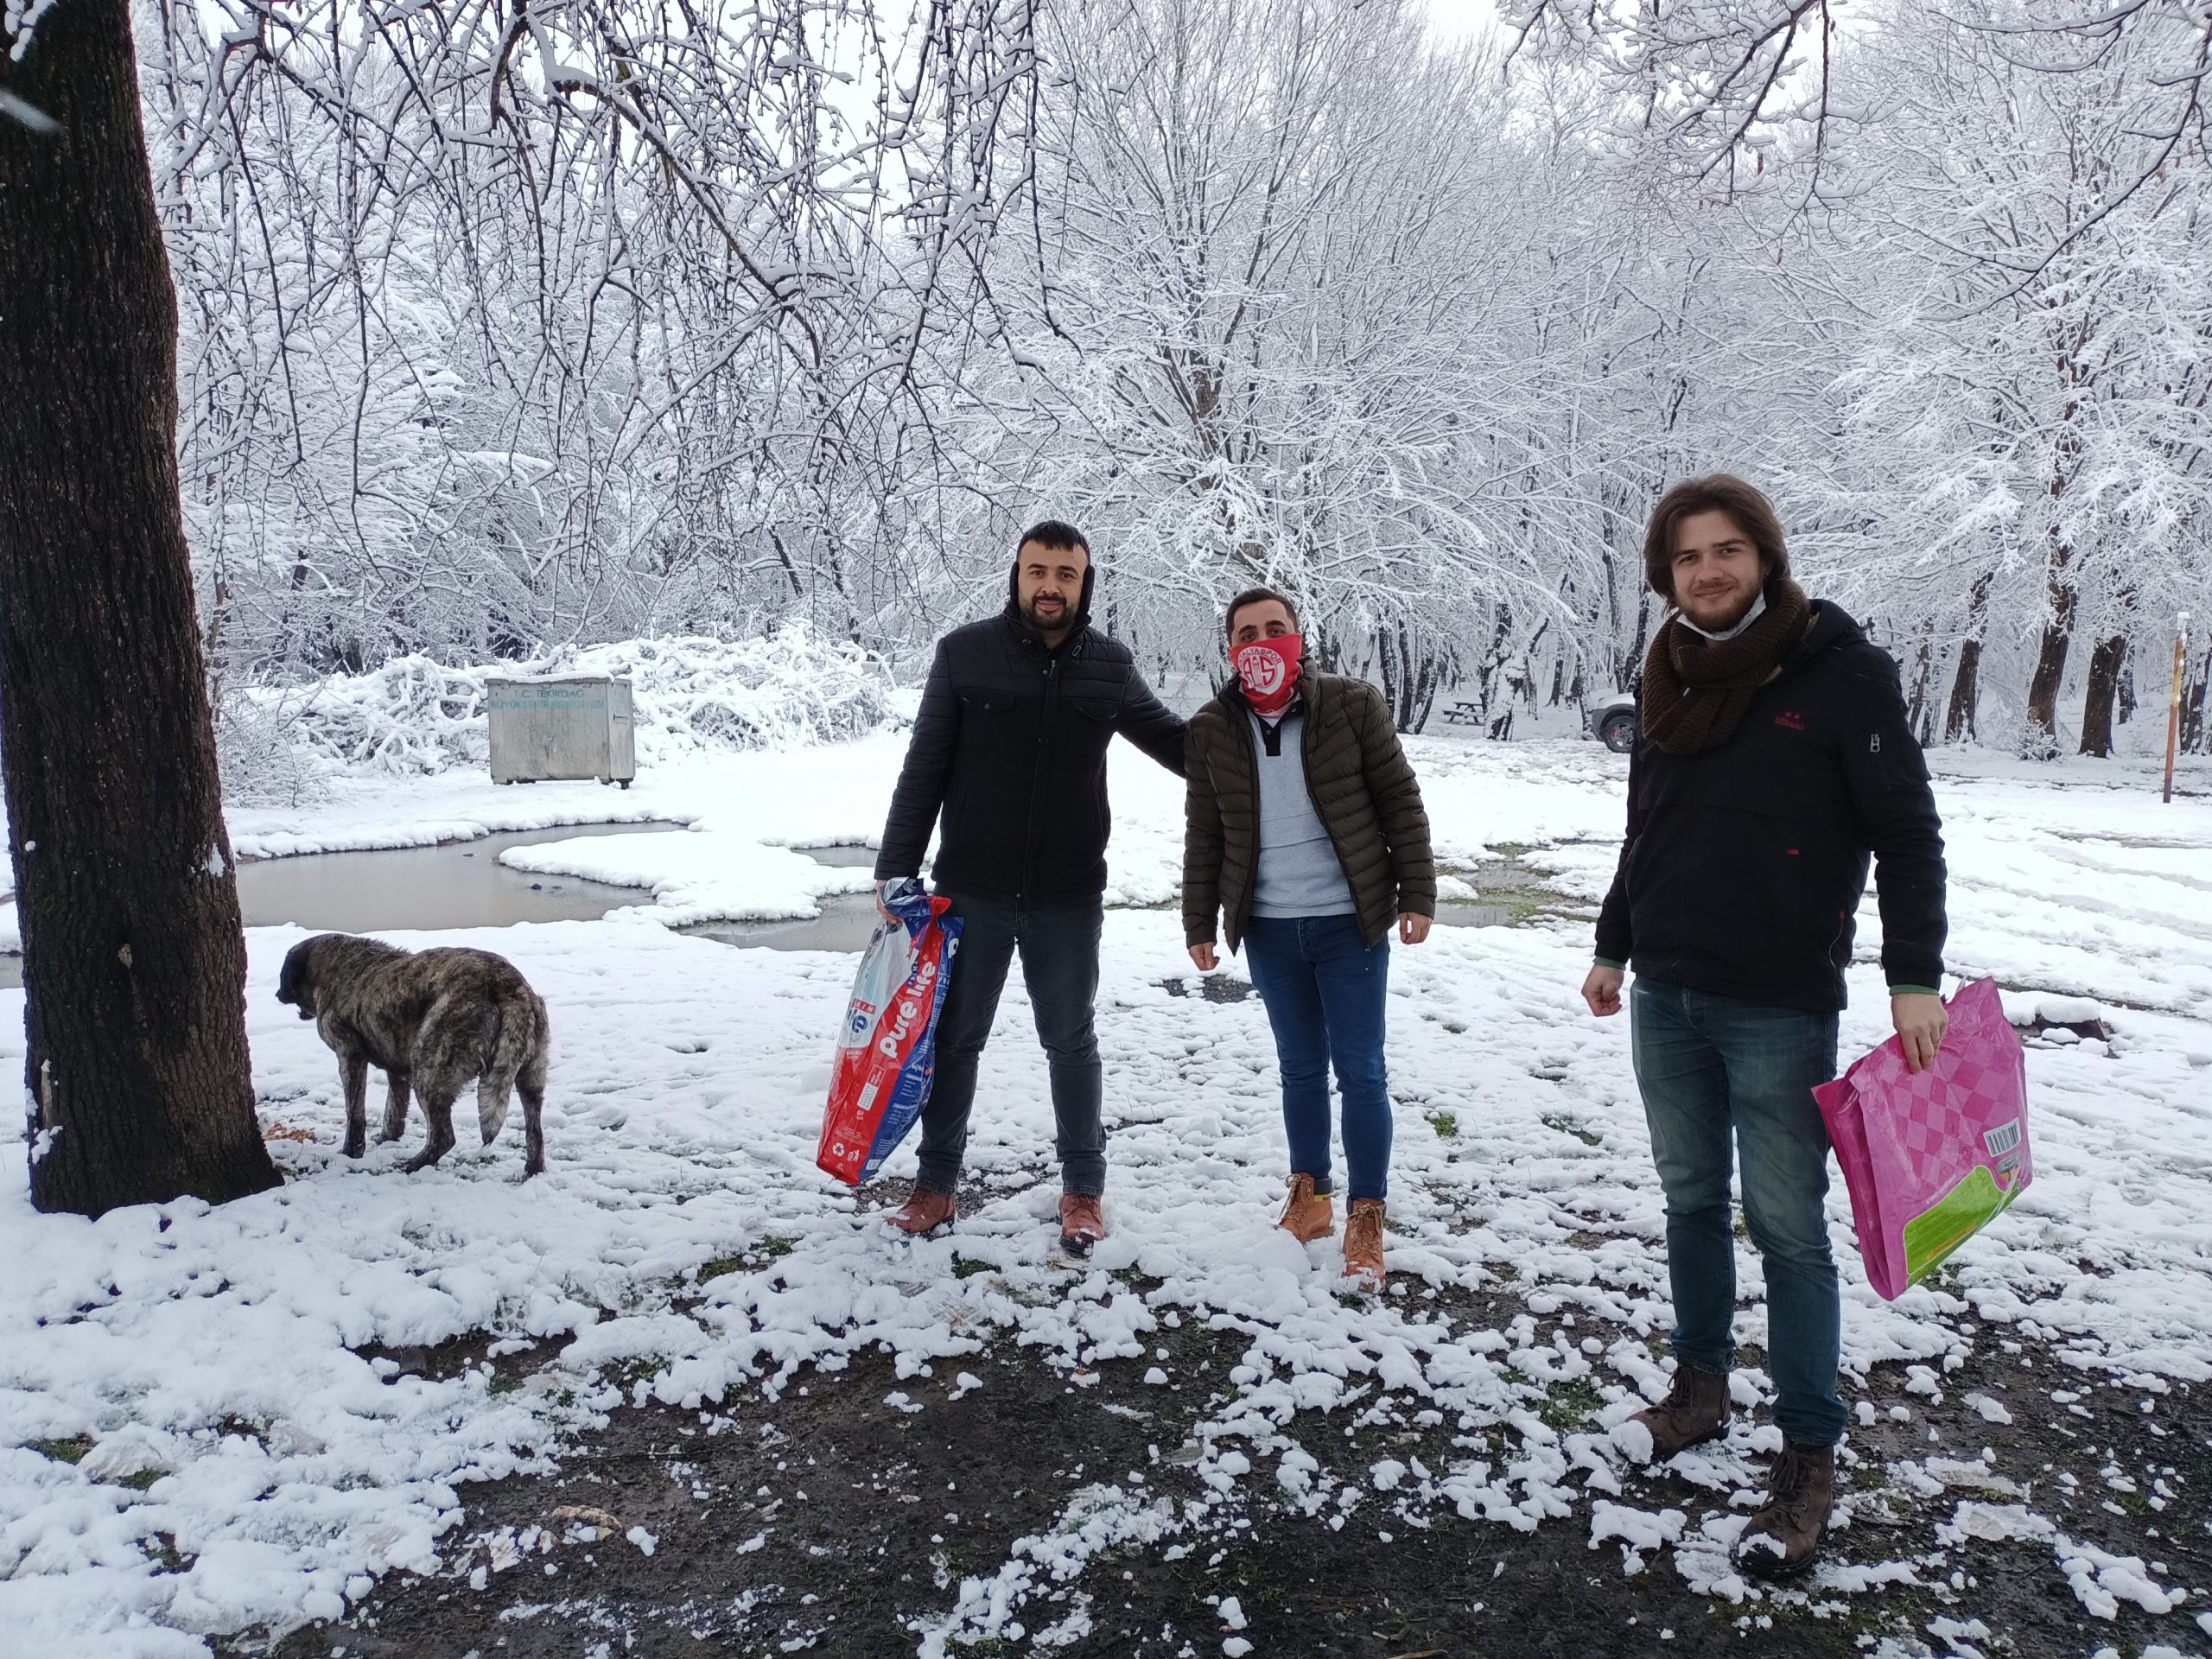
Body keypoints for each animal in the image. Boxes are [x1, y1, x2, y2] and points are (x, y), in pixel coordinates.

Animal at [276, 938, 553, 1185]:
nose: (278, 994)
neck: (332, 968)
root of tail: (507, 983)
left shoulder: (350, 1057)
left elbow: (355, 1113)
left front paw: (351, 1153)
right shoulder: (398, 1073)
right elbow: (394, 1109)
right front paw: (387, 1138)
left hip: (429, 1072)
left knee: (443, 1137)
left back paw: (411, 1166)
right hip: (530, 1078)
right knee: (535, 1133)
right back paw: (532, 1172)